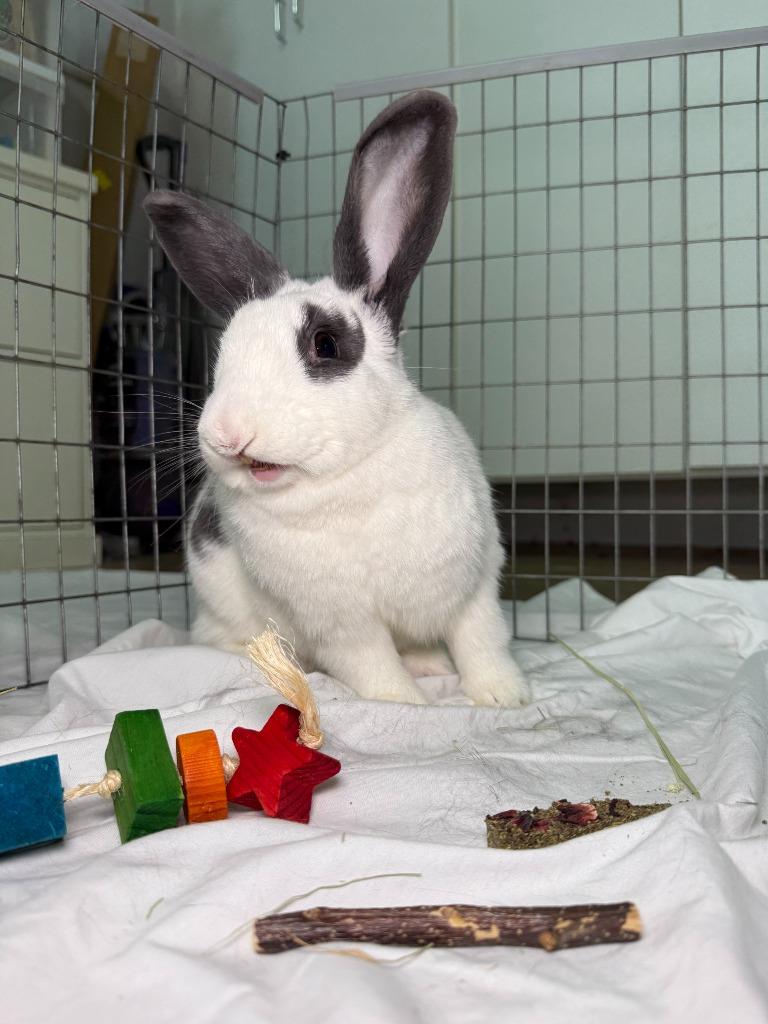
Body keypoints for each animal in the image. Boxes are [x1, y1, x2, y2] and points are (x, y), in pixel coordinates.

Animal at [143, 90, 529, 707]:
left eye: (325, 345)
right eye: (222, 352)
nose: (227, 435)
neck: (347, 479)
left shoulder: (476, 582)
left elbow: (482, 639)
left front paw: (504, 697)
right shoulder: (341, 624)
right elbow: (371, 664)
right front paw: (406, 706)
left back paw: (431, 663)